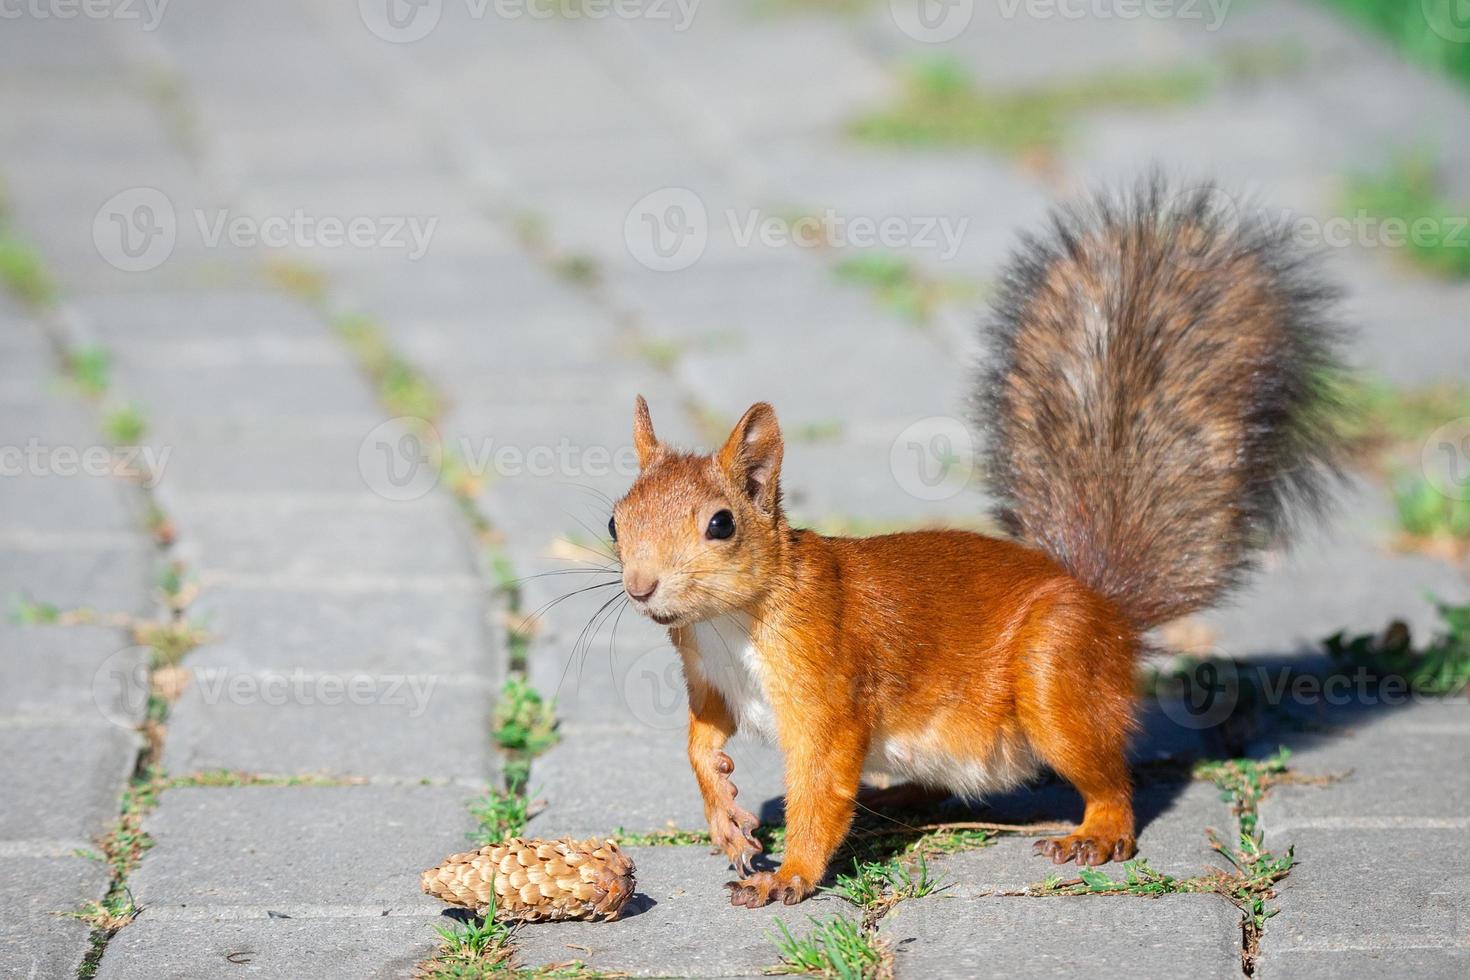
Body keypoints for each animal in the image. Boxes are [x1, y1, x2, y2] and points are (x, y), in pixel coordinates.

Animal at [605, 179, 1346, 910]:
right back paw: (896, 798)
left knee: (1111, 778)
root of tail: (1110, 612)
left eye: (721, 524)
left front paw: (789, 874)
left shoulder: (827, 690)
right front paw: (726, 813)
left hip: (1055, 670)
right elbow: (699, 741)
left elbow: (821, 784)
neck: (730, 624)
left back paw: (1098, 832)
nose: (641, 586)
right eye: (615, 521)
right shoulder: (709, 682)